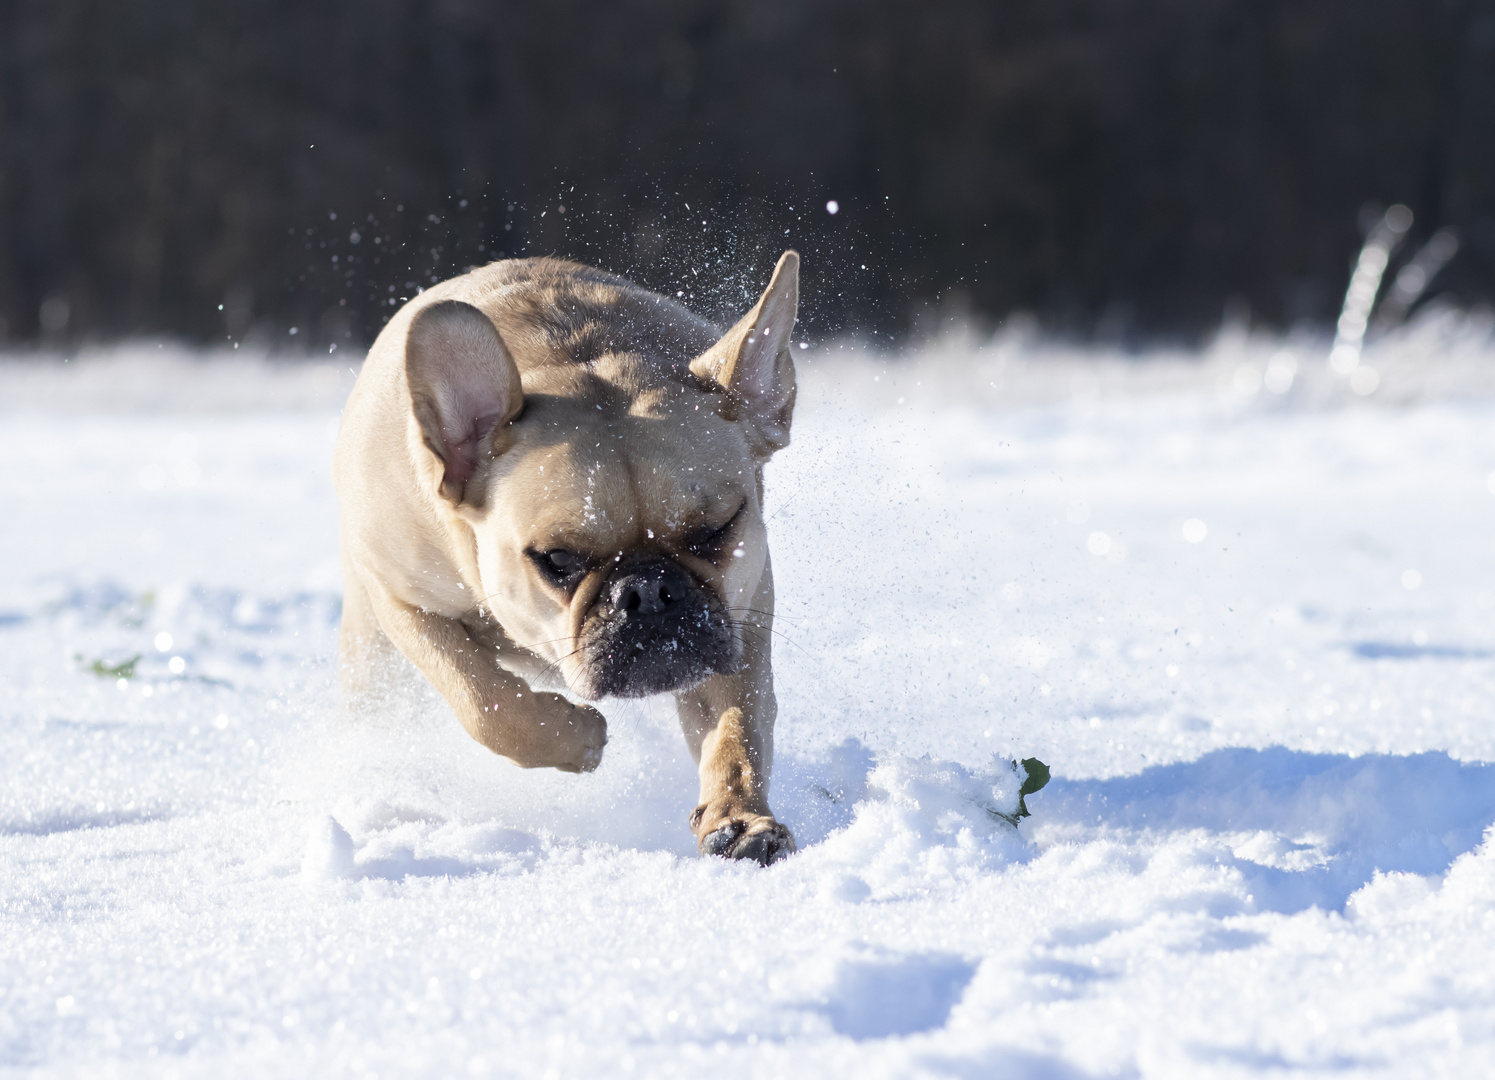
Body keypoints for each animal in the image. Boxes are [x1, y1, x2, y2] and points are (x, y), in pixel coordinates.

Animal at [336, 248, 807, 861]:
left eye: (716, 529)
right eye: (558, 559)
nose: (649, 590)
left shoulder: (742, 615)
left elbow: (736, 724)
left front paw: (741, 819)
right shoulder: (399, 597)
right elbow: (481, 698)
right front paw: (579, 738)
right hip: (370, 655)